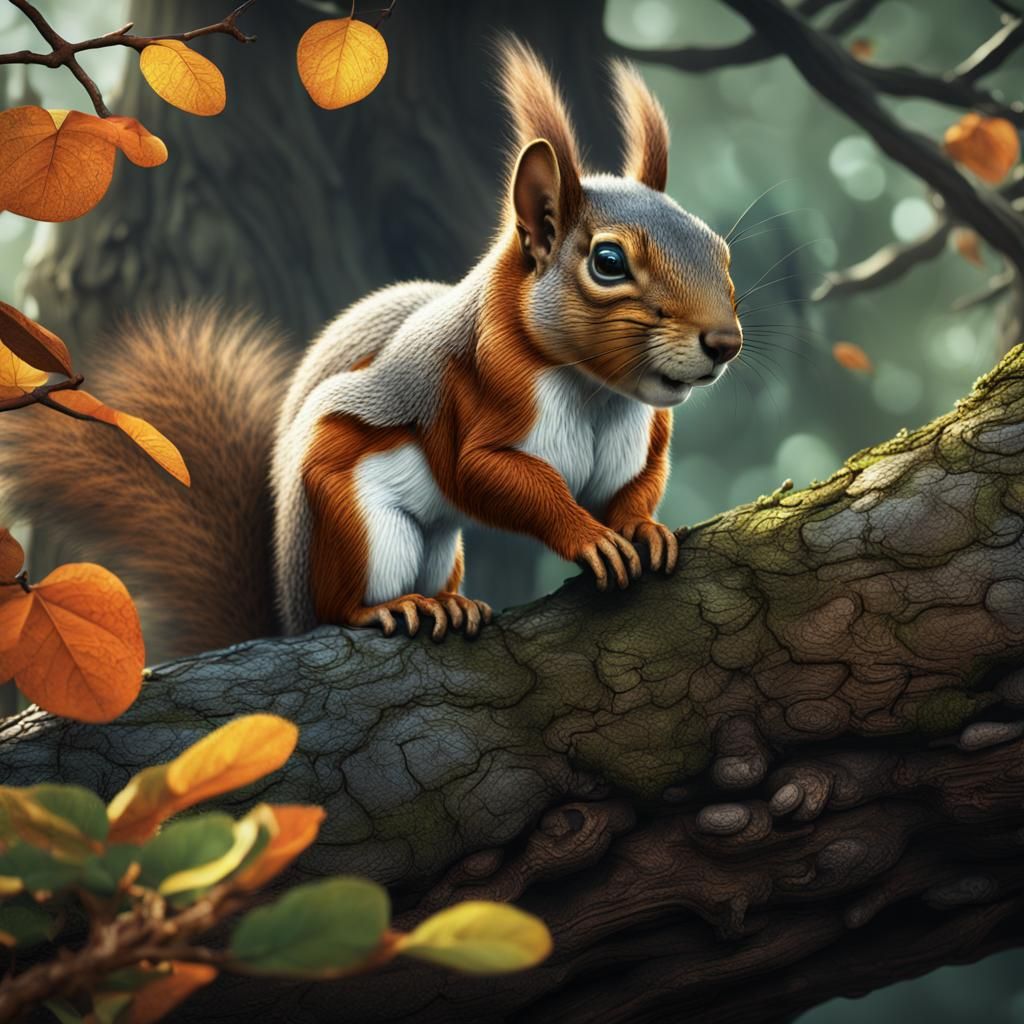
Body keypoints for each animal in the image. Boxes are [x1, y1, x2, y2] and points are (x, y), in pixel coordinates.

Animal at [0, 39, 742, 660]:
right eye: (608, 262)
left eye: (720, 252)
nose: (725, 343)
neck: (593, 390)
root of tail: (290, 603)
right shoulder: (472, 399)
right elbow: (495, 478)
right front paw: (588, 536)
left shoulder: (640, 443)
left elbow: (635, 488)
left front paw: (642, 528)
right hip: (356, 523)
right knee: (341, 607)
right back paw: (392, 609)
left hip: (439, 548)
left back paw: (450, 603)